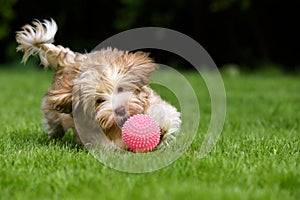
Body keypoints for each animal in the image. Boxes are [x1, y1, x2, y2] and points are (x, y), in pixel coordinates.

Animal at [15, 19, 180, 150]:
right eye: (99, 100)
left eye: (121, 89)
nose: (120, 110)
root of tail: (70, 60)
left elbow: (163, 111)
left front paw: (160, 129)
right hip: (52, 112)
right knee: (54, 123)